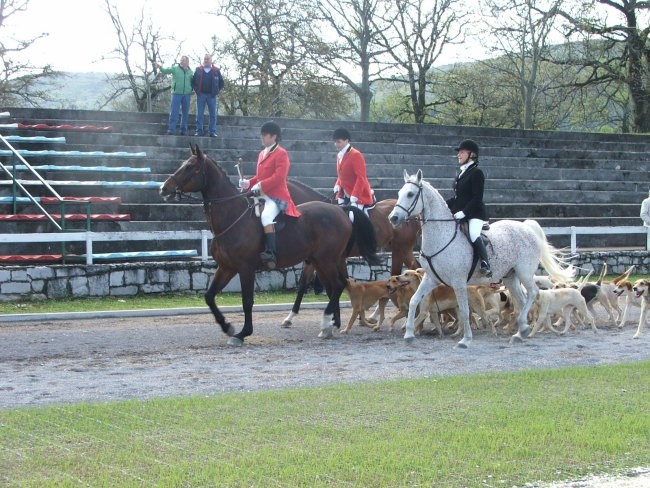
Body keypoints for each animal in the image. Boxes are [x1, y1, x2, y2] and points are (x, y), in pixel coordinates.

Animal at [159, 146, 378, 346]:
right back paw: (331, 325)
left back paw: (327, 323)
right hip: (322, 261)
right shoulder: (226, 267)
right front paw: (227, 327)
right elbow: (209, 296)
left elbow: (247, 301)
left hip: (326, 260)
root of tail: (340, 211)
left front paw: (242, 333)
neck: (233, 216)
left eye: (190, 167)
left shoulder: (245, 268)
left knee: (339, 285)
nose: (164, 188)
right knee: (335, 286)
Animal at [280, 179, 418, 328]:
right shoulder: (315, 260)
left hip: (400, 250)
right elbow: (303, 284)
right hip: (405, 250)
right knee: (415, 268)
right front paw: (290, 317)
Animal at [384, 170, 572, 346]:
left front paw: (466, 340)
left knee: (533, 292)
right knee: (522, 300)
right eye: (400, 193)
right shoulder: (431, 278)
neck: (441, 237)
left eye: (410, 194)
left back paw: (522, 329)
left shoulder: (459, 282)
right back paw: (521, 331)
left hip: (524, 272)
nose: (393, 218)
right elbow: (414, 301)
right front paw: (409, 334)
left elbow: (465, 311)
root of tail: (526, 227)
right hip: (510, 277)